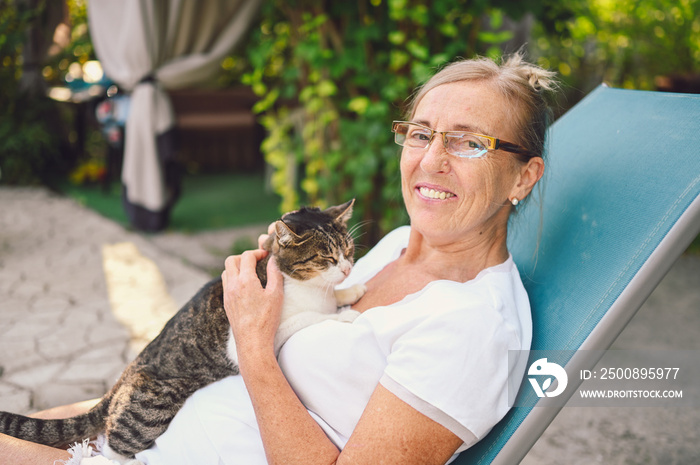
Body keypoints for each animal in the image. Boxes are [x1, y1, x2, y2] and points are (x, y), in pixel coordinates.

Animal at [1, 198, 366, 460]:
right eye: (326, 259)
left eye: (348, 251)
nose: (348, 270)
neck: (304, 286)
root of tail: (123, 377)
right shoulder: (257, 335)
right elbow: (310, 317)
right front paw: (344, 315)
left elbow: (328, 301)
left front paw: (349, 293)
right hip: (151, 407)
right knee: (114, 443)